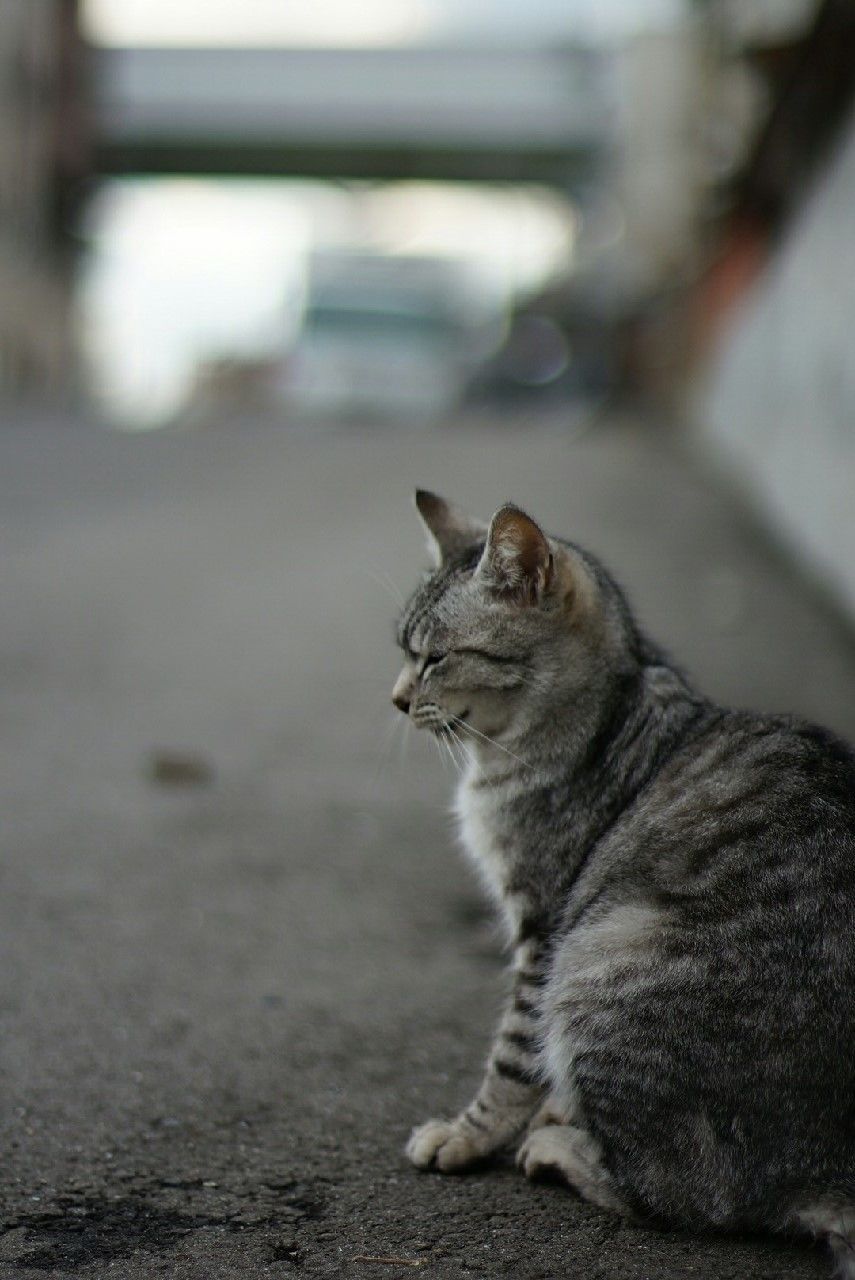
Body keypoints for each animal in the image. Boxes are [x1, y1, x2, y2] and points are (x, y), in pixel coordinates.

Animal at [391, 491, 855, 1280]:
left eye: (435, 658)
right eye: (401, 651)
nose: (394, 699)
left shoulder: (542, 929)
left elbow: (510, 1059)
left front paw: (467, 1134)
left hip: (599, 958)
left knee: (688, 1197)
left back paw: (559, 1146)